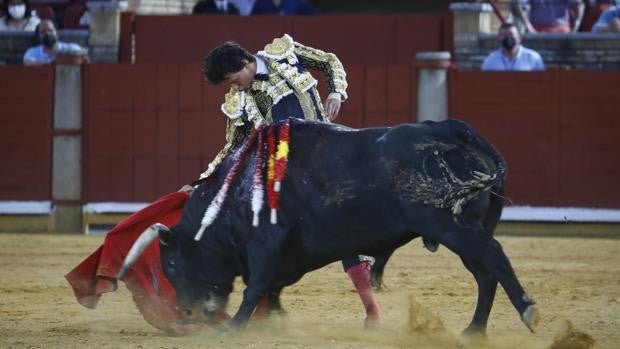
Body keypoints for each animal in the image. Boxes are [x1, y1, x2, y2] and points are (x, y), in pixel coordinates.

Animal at [120, 118, 536, 334]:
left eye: (172, 266)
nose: (190, 314)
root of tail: (455, 130)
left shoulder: (266, 240)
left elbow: (256, 284)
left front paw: (236, 325)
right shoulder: (288, 254)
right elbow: (272, 285)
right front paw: (273, 319)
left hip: (451, 226)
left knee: (494, 259)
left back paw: (527, 312)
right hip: (468, 228)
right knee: (485, 274)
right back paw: (474, 330)